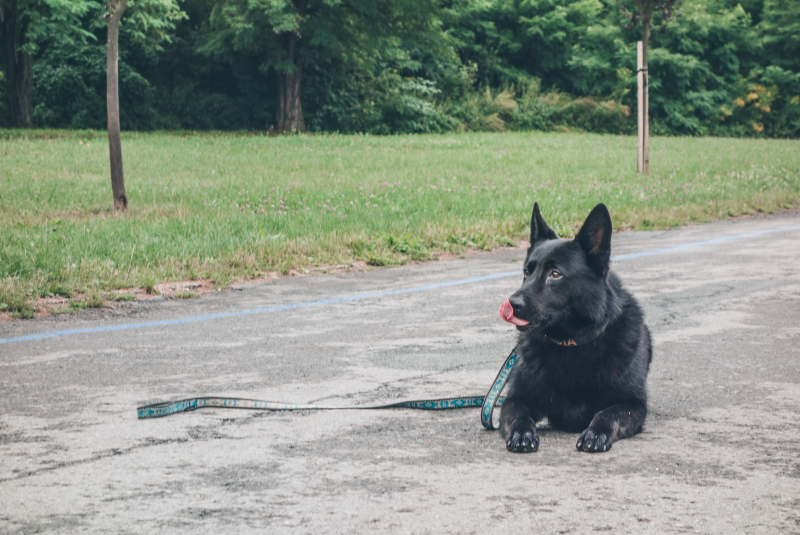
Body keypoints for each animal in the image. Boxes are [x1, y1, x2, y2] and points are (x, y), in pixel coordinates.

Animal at [500, 202, 648, 452]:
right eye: (527, 273)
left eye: (555, 274)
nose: (512, 304)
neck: (570, 343)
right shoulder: (515, 399)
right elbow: (519, 414)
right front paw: (522, 432)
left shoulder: (633, 404)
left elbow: (608, 413)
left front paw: (596, 432)